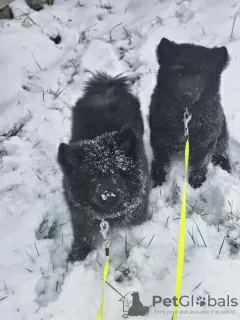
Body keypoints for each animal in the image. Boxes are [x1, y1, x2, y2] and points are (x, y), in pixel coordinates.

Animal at [57, 72, 149, 260]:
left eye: (116, 173)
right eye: (92, 178)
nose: (109, 196)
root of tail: (108, 84)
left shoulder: (138, 210)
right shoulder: (80, 218)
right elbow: (82, 237)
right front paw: (76, 256)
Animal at [150, 37, 231, 189]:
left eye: (199, 75)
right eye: (179, 73)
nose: (186, 95)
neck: (186, 114)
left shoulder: (206, 141)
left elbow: (200, 163)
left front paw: (197, 181)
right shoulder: (159, 138)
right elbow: (161, 160)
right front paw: (157, 178)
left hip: (221, 130)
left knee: (221, 149)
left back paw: (224, 164)